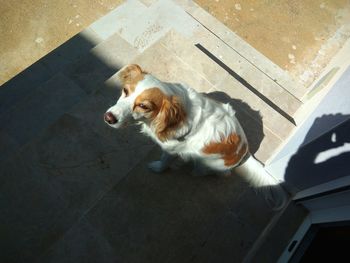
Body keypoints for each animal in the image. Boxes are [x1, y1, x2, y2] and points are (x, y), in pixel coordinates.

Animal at [103, 64, 288, 210]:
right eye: (125, 91)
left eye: (143, 106)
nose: (109, 118)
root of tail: (245, 151)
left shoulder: (171, 149)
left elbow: (164, 161)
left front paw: (157, 167)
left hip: (207, 164)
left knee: (214, 172)